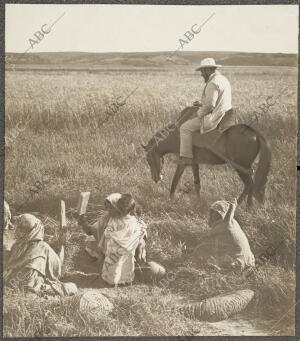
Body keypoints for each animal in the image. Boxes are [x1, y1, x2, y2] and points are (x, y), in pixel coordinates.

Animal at [142, 105, 270, 206]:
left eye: (148, 159)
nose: (156, 178)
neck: (177, 135)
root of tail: (254, 132)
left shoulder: (183, 162)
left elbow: (175, 181)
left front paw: (170, 200)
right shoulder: (194, 163)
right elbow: (197, 183)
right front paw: (198, 202)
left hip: (240, 167)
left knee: (249, 184)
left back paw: (236, 205)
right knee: (251, 184)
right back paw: (248, 206)